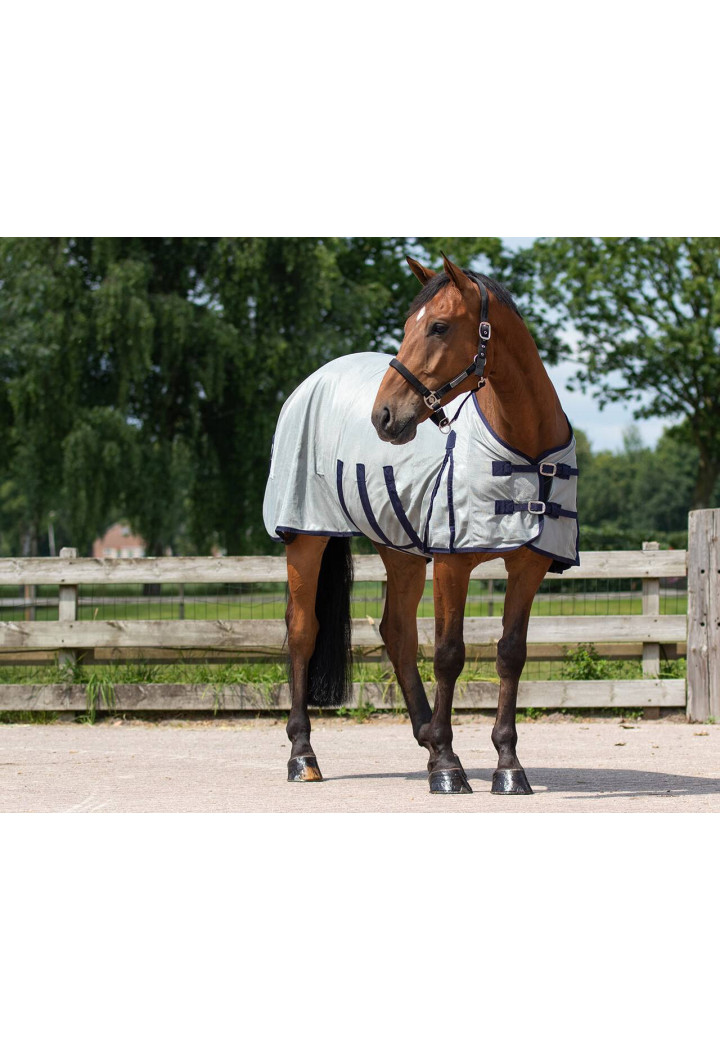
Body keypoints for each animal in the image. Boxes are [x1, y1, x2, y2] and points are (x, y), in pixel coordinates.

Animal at [263, 253, 578, 795]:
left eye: (438, 326)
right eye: (409, 325)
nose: (384, 416)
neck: (526, 446)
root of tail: (314, 380)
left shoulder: (529, 566)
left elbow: (510, 653)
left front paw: (507, 765)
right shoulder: (453, 563)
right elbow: (449, 653)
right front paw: (450, 767)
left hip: (401, 550)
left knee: (397, 633)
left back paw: (427, 739)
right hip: (306, 537)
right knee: (303, 630)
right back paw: (303, 756)